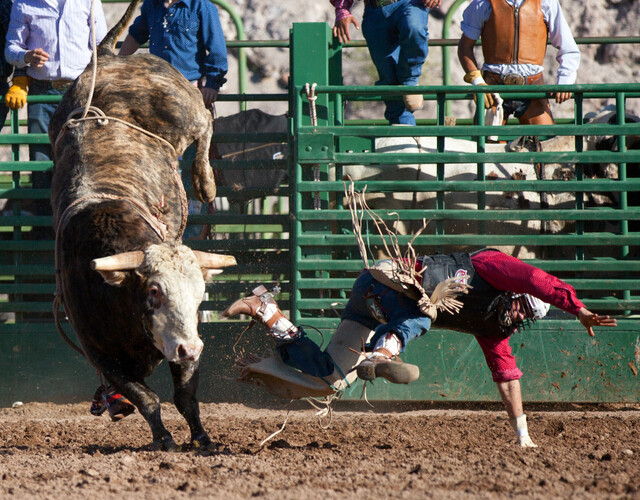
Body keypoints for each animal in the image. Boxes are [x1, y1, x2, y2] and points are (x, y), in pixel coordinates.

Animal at [49, 0, 235, 452]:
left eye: (200, 293)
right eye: (154, 291)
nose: (191, 346)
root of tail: (105, 58)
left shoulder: (185, 344)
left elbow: (185, 395)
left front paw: (202, 439)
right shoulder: (103, 356)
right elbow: (146, 397)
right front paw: (164, 439)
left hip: (180, 105)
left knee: (205, 120)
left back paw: (205, 181)